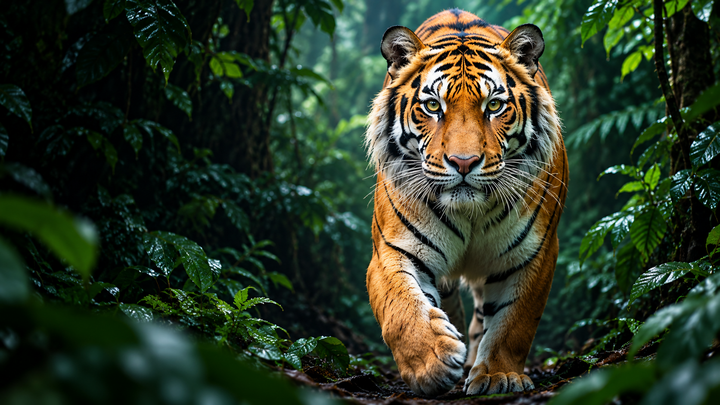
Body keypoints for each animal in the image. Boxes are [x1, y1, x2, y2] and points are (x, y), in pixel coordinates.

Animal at [365, 9, 568, 397]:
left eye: (494, 106)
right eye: (432, 106)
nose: (463, 162)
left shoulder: (534, 254)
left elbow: (514, 322)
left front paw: (498, 376)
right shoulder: (392, 250)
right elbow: (401, 308)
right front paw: (432, 362)